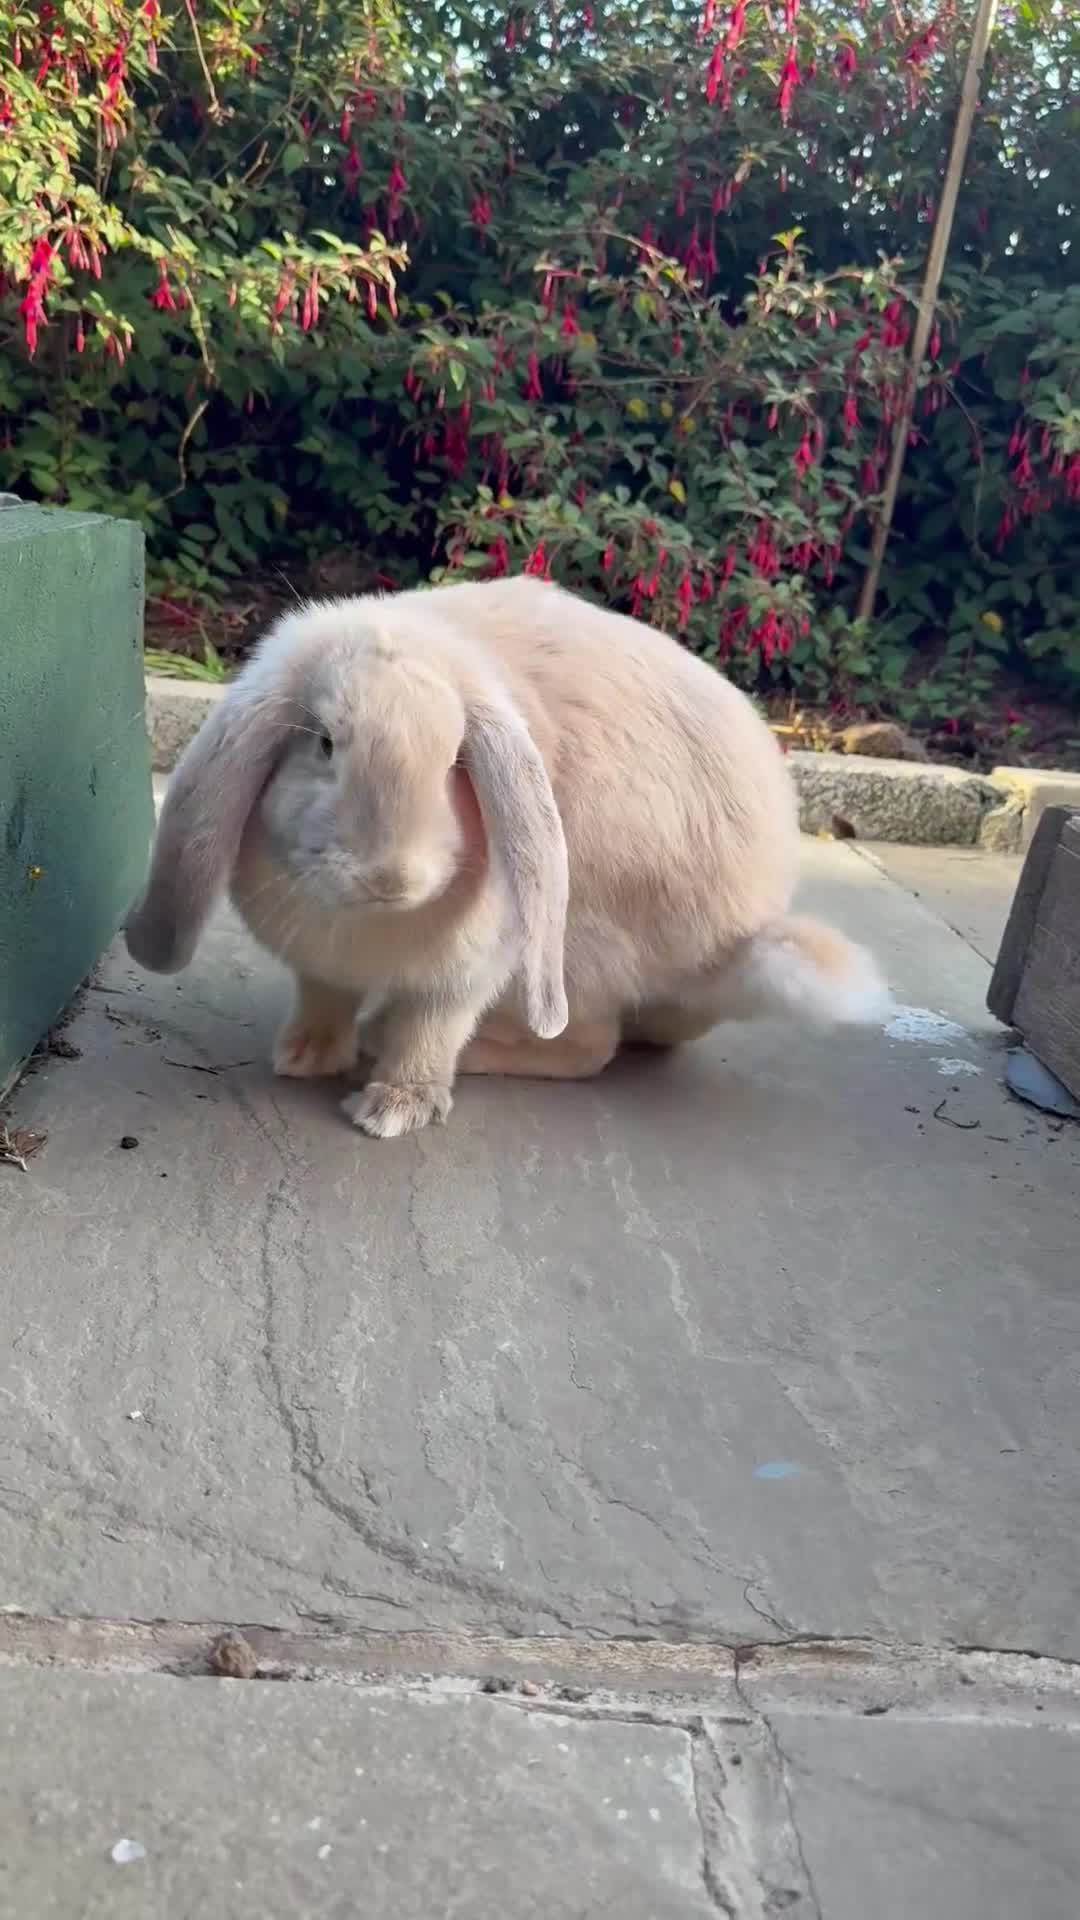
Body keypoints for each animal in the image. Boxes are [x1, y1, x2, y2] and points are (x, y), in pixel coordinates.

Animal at [125, 576, 888, 1137]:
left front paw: (392, 1109)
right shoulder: (321, 965)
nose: (390, 876)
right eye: (323, 743)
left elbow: (431, 1033)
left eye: (453, 761)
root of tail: (734, 950)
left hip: (579, 956)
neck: (370, 925)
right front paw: (305, 1058)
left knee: (590, 1048)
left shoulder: (466, 973)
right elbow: (323, 998)